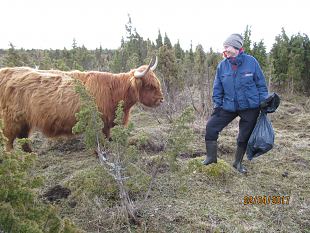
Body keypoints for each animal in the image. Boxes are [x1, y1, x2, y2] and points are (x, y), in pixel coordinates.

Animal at [0, 56, 163, 151]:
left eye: (157, 82)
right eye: (149, 86)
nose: (162, 99)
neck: (114, 91)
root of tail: (6, 71)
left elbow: (108, 137)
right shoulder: (100, 122)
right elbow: (103, 139)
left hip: (24, 121)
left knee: (23, 138)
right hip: (10, 119)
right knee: (9, 140)